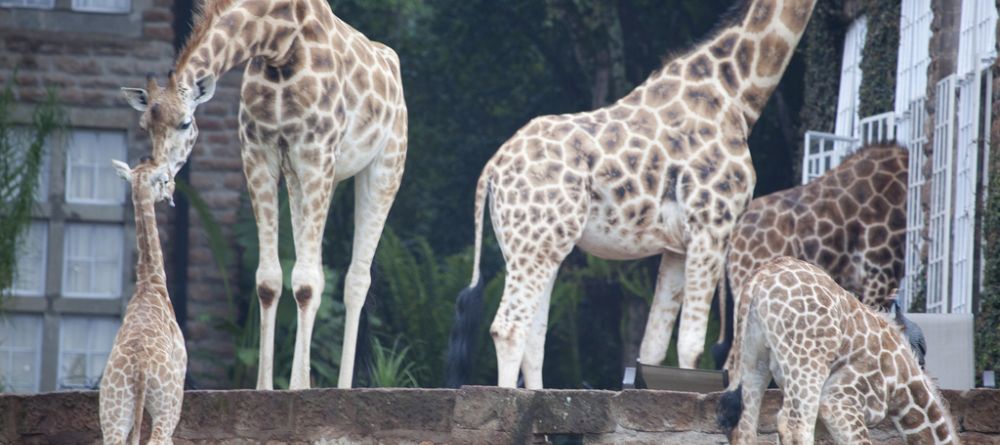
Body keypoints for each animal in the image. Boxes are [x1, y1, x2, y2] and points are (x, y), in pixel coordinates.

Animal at [101, 157, 188, 444]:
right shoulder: (182, 366)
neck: (150, 284)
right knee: (158, 439)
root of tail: (139, 369)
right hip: (167, 404)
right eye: (164, 179)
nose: (171, 194)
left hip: (113, 412)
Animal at [120, 0, 406, 388]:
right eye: (145, 126)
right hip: (306, 180)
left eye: (185, 123)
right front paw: (267, 387)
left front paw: (298, 388)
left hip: (384, 165)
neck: (279, 46)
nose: (159, 180)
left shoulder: (315, 154)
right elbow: (270, 280)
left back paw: (342, 386)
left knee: (356, 279)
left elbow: (306, 282)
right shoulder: (259, 155)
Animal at [450, 0, 816, 386]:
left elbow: (652, 349)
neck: (737, 94)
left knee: (535, 336)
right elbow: (691, 346)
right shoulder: (712, 228)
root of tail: (492, 169)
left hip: (534, 245)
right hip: (536, 243)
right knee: (509, 328)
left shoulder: (677, 248)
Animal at [720, 255, 960, 444]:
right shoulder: (840, 400)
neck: (903, 384)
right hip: (807, 363)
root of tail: (759, 279)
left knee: (744, 429)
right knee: (793, 426)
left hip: (754, 358)